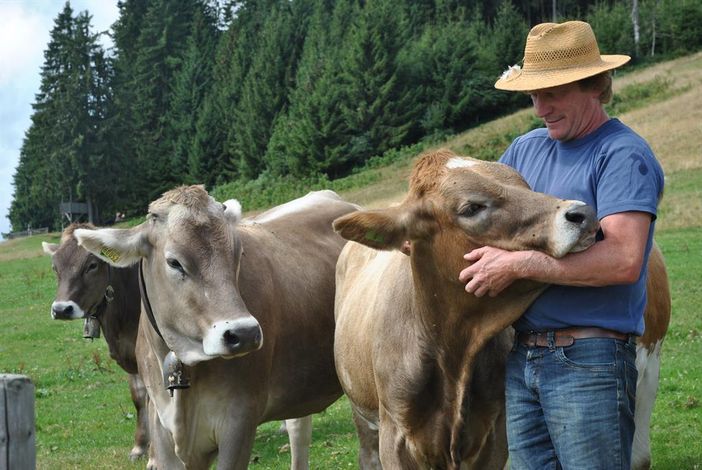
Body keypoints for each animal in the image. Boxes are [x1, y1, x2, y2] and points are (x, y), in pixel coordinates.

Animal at [73, 187, 358, 470]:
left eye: (238, 253)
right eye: (174, 262)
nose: (244, 334)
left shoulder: (239, 421)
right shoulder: (161, 428)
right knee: (299, 427)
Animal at [334, 148, 672, 470]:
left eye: (524, 184)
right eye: (471, 208)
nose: (582, 213)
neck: (451, 351)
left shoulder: (494, 434)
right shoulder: (396, 438)